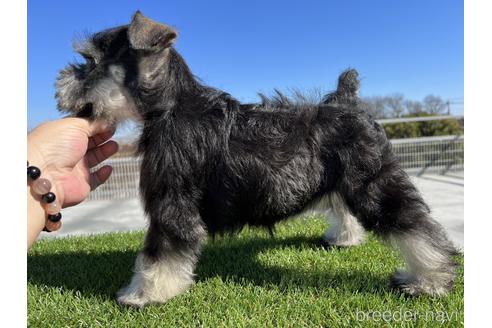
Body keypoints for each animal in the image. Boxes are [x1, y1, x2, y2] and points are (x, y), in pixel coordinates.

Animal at [54, 10, 458, 308]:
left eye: (91, 60)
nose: (60, 84)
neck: (170, 108)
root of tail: (349, 101)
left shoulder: (172, 205)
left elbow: (158, 254)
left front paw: (141, 294)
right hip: (344, 180)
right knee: (349, 210)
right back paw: (344, 239)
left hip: (373, 183)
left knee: (417, 228)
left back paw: (430, 281)